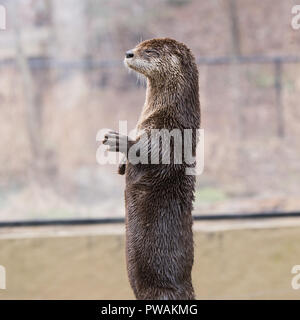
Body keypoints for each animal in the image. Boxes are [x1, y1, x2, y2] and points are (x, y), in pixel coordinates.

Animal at [102, 38, 200, 300]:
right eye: (137, 45)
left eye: (149, 51)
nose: (129, 53)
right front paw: (121, 164)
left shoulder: (171, 129)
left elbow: (154, 153)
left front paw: (120, 141)